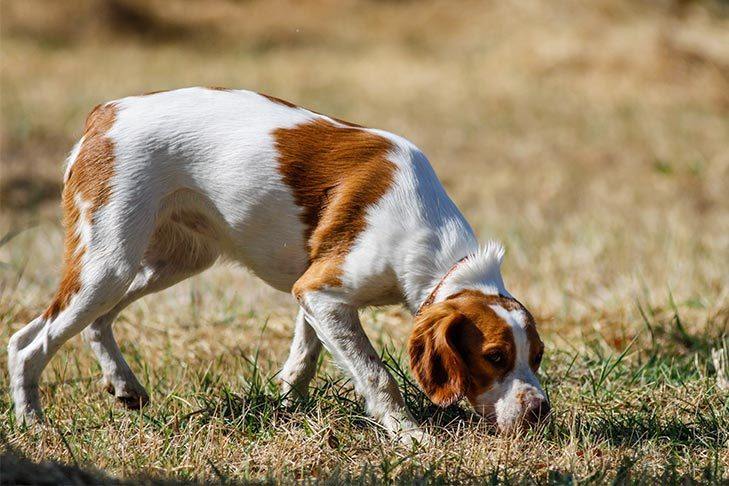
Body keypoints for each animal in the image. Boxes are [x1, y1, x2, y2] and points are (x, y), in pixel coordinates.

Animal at [8, 87, 548, 444]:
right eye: (495, 356)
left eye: (538, 356)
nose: (540, 411)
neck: (434, 243)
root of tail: (106, 113)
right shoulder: (323, 291)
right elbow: (376, 374)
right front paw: (409, 435)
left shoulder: (313, 293)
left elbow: (304, 359)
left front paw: (286, 408)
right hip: (109, 261)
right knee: (27, 343)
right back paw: (33, 425)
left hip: (171, 261)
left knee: (88, 322)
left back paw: (123, 386)